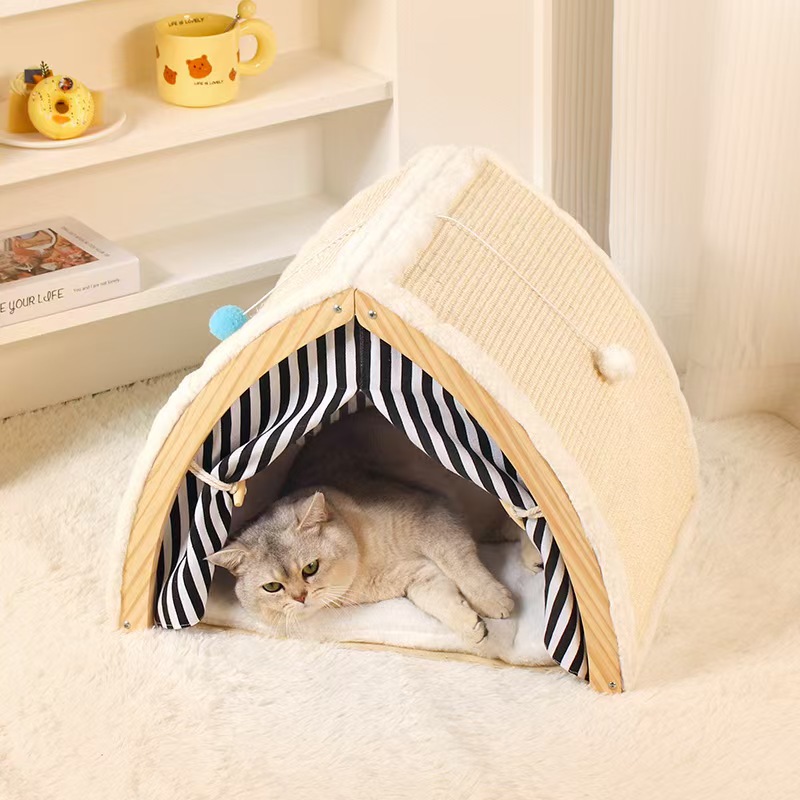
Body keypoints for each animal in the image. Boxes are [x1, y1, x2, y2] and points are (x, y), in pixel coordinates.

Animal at [208, 408, 541, 644]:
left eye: (310, 568)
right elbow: (435, 598)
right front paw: (470, 626)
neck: (363, 556)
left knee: (520, 516)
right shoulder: (415, 575)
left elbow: (461, 565)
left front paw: (493, 600)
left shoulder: (434, 517)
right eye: (272, 587)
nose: (300, 597)